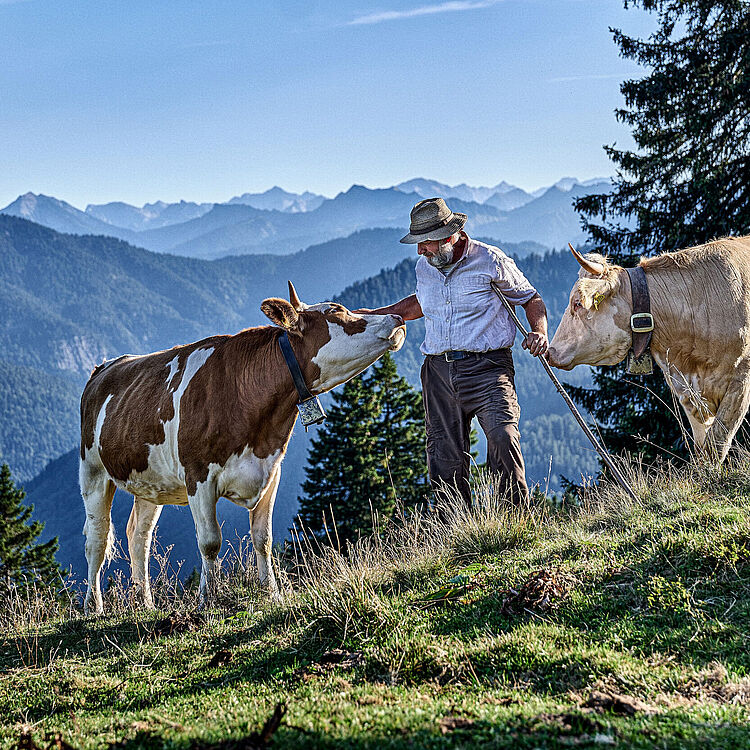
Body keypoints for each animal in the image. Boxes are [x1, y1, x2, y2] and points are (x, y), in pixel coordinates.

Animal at [79, 282, 406, 614]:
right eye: (337, 310)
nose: (397, 318)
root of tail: (104, 367)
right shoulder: (198, 476)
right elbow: (210, 542)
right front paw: (208, 599)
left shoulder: (271, 471)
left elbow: (263, 538)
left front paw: (272, 593)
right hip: (93, 472)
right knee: (96, 540)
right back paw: (94, 606)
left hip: (150, 482)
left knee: (139, 537)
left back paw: (145, 604)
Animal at [547, 235, 750, 462]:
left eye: (578, 303)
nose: (551, 351)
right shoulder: (686, 390)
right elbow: (702, 450)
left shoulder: (740, 382)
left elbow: (716, 444)